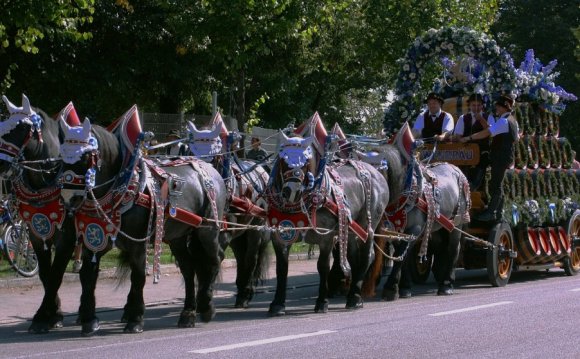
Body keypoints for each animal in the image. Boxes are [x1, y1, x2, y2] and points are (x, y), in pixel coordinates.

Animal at [264, 131, 390, 316]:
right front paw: (277, 304)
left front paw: (322, 302)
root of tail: (376, 172)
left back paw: (355, 297)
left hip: (367, 226)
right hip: (350, 230)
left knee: (367, 256)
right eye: (283, 160)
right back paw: (352, 293)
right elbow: (281, 268)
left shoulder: (327, 236)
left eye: (306, 161)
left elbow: (322, 266)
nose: (291, 191)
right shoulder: (280, 236)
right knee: (353, 258)